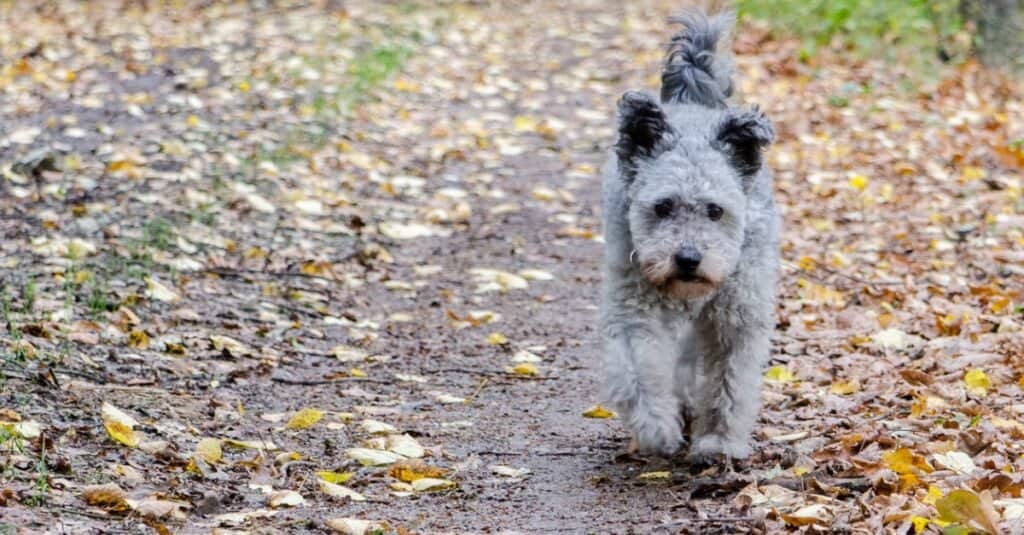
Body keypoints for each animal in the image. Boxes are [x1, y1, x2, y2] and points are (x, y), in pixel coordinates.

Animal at [598, 8, 778, 459]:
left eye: (715, 210)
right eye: (663, 207)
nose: (688, 259)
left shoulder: (735, 317)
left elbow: (729, 381)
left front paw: (718, 440)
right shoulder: (634, 309)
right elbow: (639, 373)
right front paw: (656, 427)